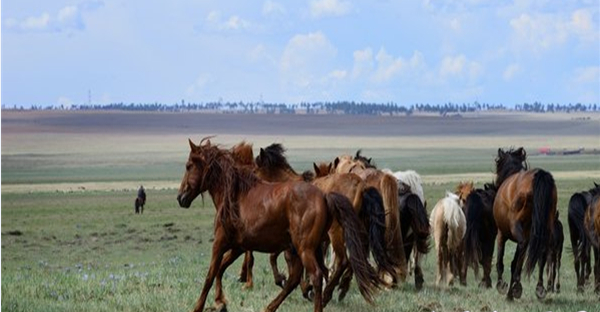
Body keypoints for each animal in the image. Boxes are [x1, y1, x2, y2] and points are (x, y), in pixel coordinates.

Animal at [176, 139, 380, 312]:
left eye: (188, 166)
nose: (180, 197)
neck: (234, 195)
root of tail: (324, 196)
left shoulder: (220, 242)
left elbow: (210, 274)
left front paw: (199, 306)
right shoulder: (239, 246)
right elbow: (222, 269)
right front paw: (220, 302)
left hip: (307, 247)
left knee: (317, 273)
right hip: (313, 247)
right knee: (306, 276)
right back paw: (274, 305)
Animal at [492, 147, 556, 302]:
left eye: (497, 164)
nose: (495, 184)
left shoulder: (501, 234)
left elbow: (501, 261)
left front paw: (503, 286)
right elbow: (516, 262)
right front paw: (512, 291)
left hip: (517, 229)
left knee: (521, 247)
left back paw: (515, 287)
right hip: (546, 228)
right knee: (543, 251)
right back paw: (539, 287)